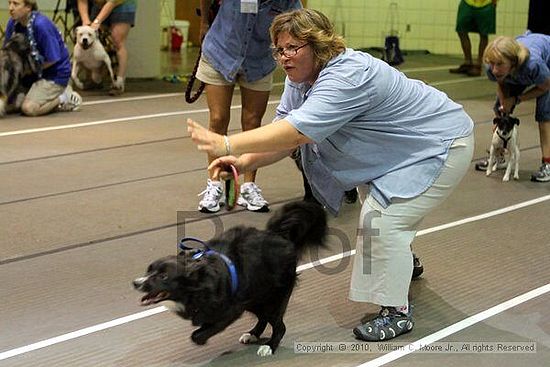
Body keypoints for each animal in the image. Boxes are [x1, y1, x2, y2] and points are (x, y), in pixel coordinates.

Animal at [134, 201, 328, 356]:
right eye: (148, 270)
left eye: (163, 276)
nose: (136, 283)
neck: (196, 285)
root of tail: (278, 235)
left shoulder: (231, 310)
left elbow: (197, 334)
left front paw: (201, 338)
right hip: (255, 297)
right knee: (263, 318)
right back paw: (252, 334)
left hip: (272, 299)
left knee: (279, 326)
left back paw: (269, 346)